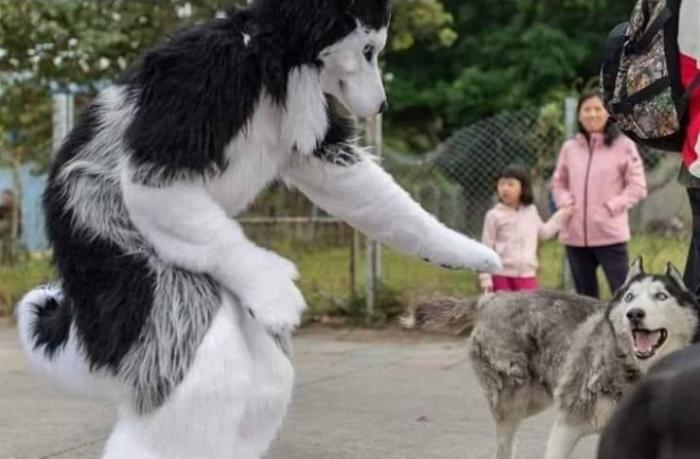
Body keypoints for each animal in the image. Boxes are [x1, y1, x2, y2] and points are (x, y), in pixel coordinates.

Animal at [404, 258, 696, 459]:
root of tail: (490, 299)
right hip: (513, 402)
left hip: (535, 398)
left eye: (661, 296)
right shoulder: (567, 425)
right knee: (503, 448)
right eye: (629, 297)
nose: (634, 314)